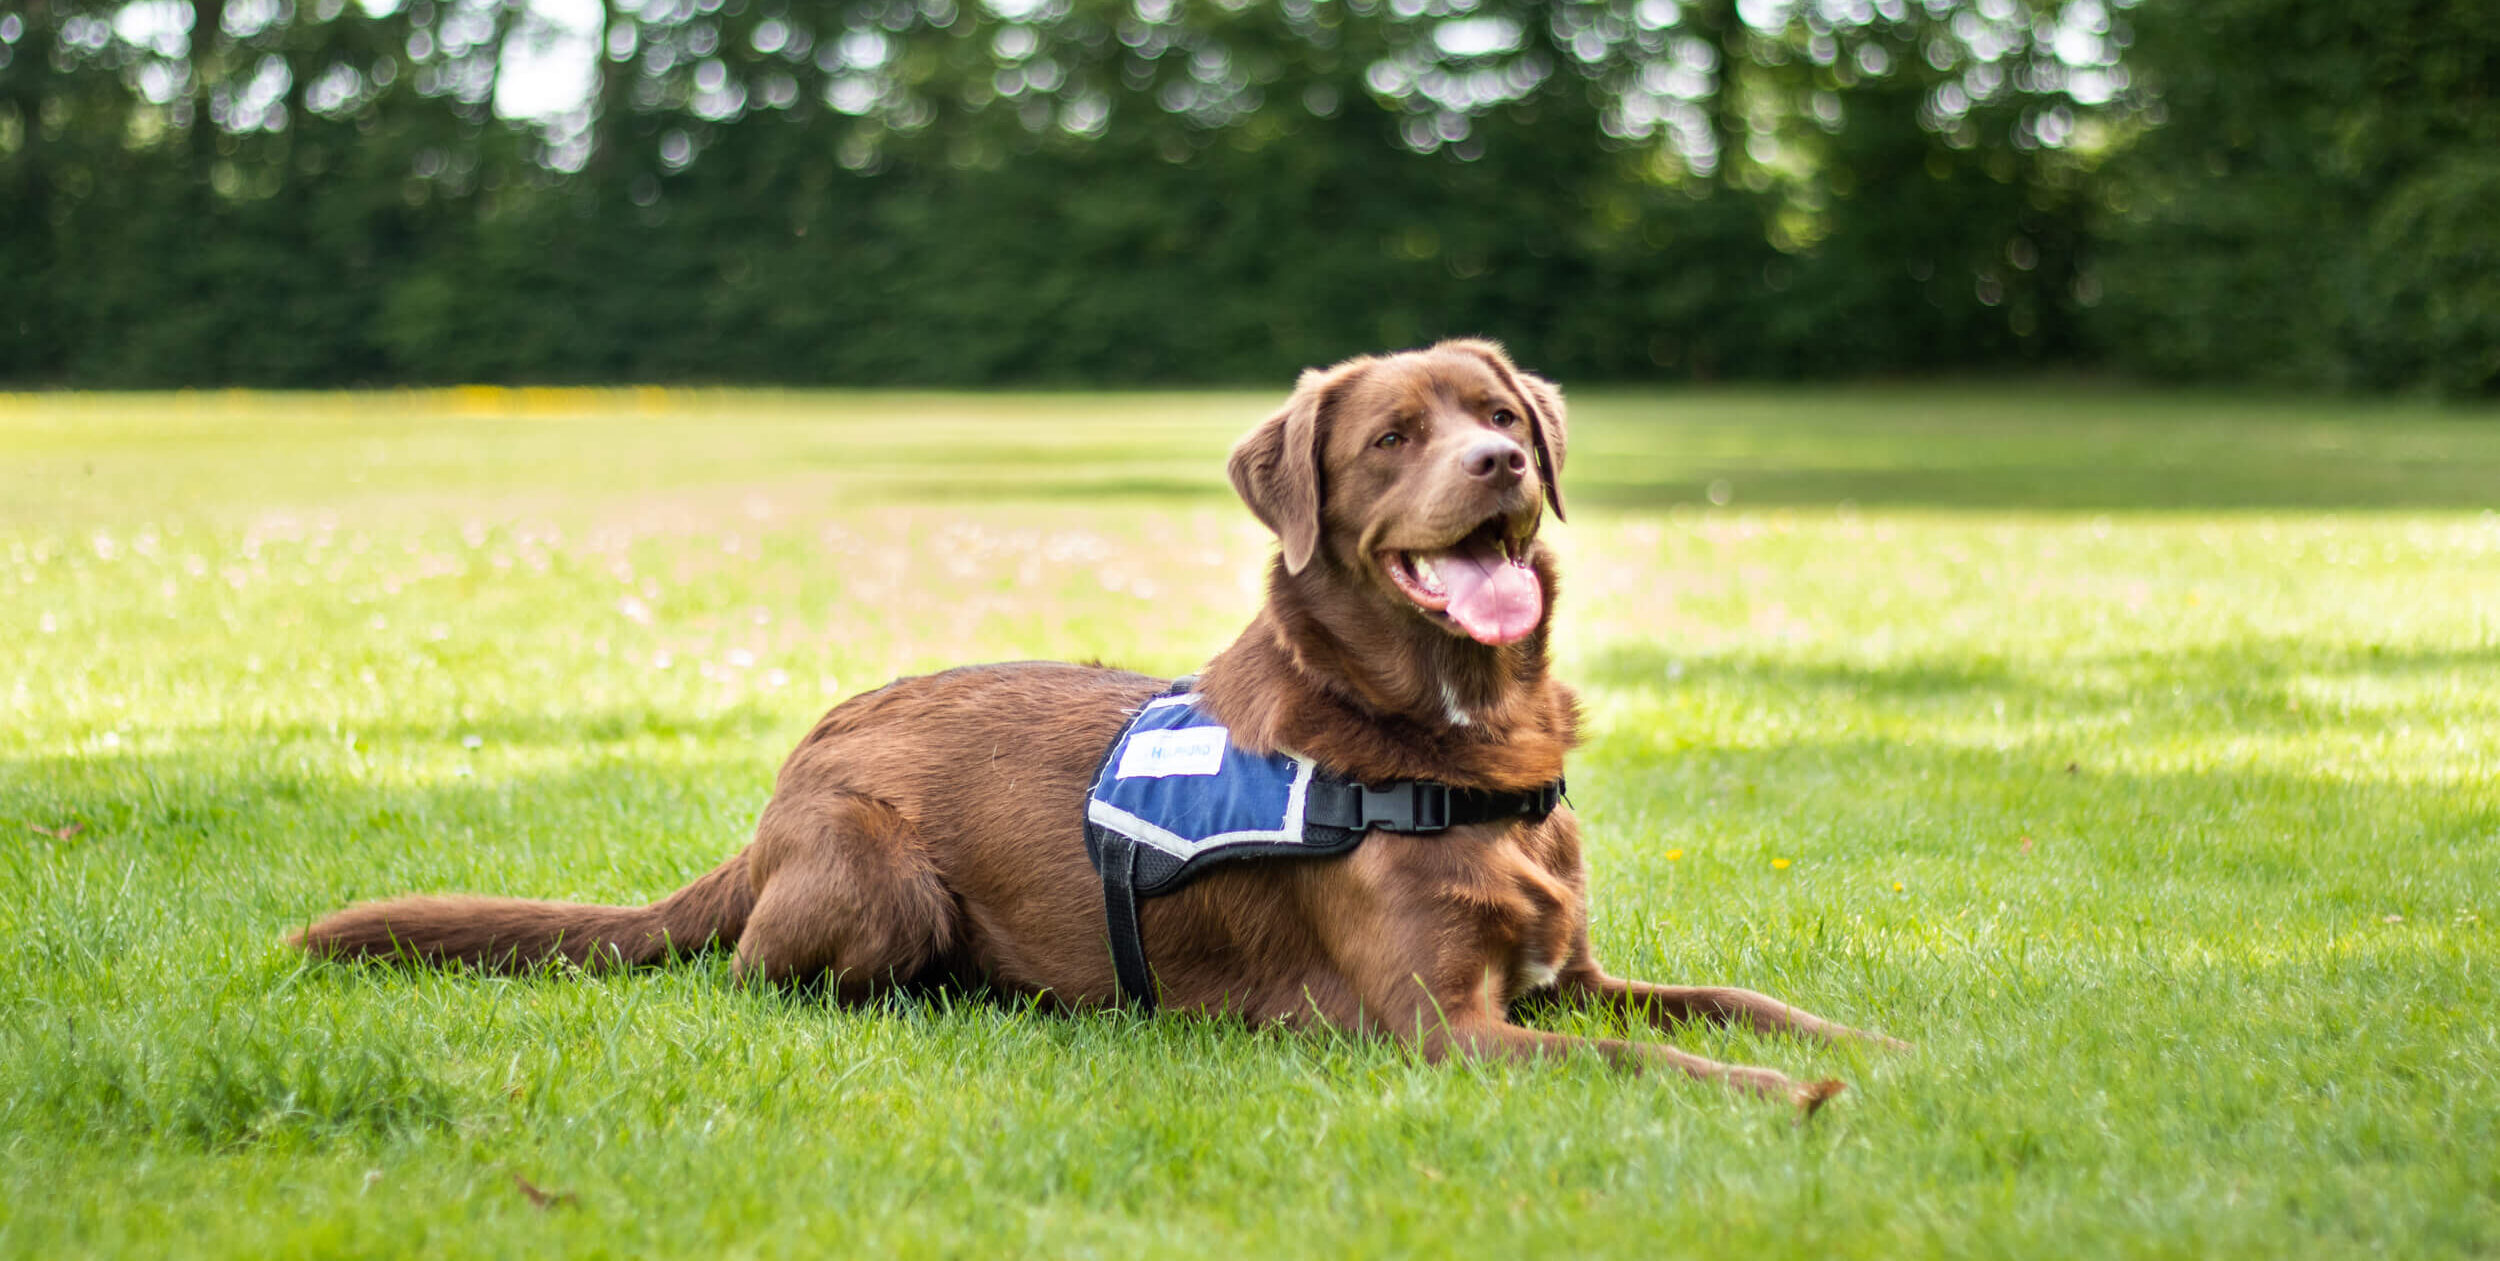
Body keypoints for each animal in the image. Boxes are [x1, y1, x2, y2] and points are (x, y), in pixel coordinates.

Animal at [297, 340, 1890, 1105]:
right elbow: (1649, 1058)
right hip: (874, 875)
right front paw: (1789, 1095)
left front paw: (1882, 1044)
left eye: (1499, 415)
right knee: (754, 980)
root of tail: (791, 772)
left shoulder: (1570, 976)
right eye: (1393, 438)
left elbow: (1731, 1000)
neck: (1451, 735)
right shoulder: (1443, 1028)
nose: (1501, 463)